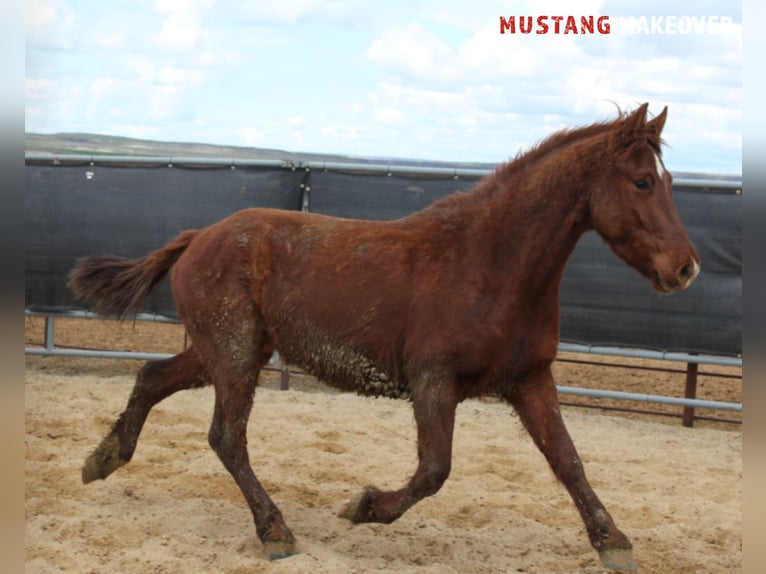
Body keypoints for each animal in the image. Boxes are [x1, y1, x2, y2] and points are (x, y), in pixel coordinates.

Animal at [70, 103, 704, 572]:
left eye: (670, 180)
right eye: (642, 181)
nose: (686, 268)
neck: (490, 263)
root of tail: (198, 236)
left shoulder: (530, 380)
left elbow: (569, 461)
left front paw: (613, 541)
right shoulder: (433, 381)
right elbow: (434, 469)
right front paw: (364, 506)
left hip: (221, 352)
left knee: (152, 378)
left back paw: (103, 459)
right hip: (235, 354)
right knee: (227, 436)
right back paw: (275, 530)